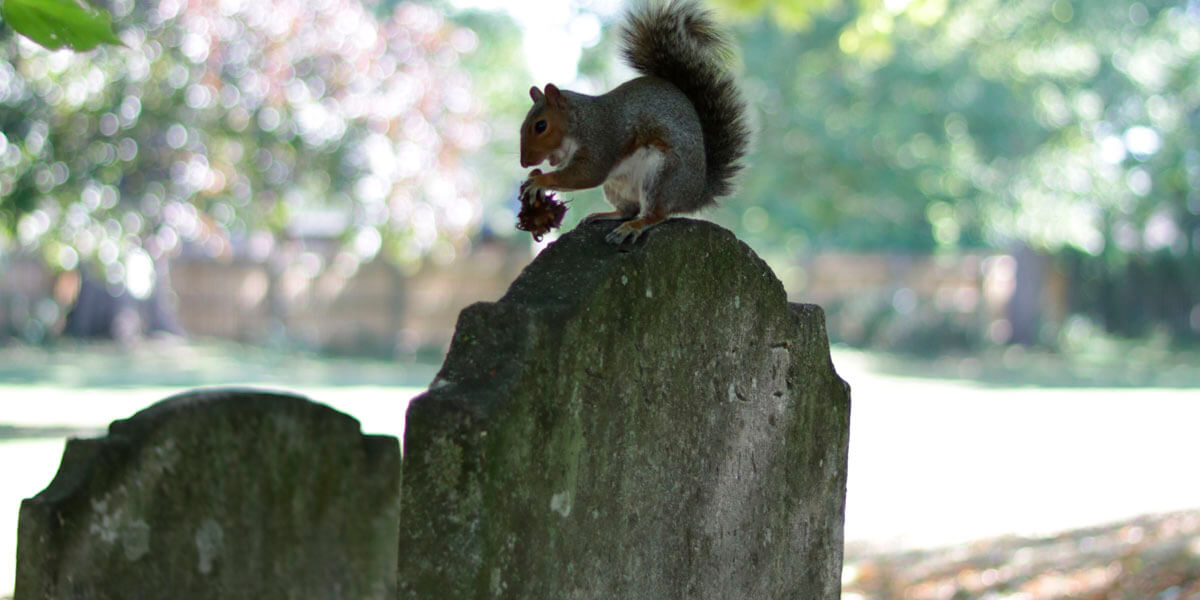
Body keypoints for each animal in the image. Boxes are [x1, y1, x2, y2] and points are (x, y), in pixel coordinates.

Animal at [518, 0, 748, 243]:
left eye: (541, 126)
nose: (525, 163)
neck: (581, 121)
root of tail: (695, 195)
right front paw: (535, 177)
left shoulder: (601, 139)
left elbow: (587, 174)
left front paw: (539, 181)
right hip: (616, 185)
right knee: (629, 210)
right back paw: (604, 215)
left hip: (661, 177)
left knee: (655, 215)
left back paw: (633, 227)